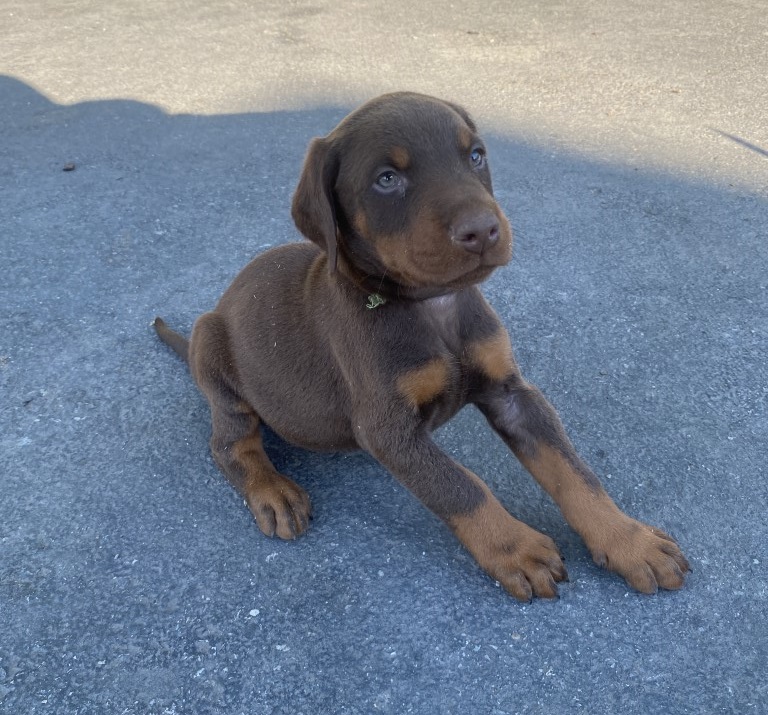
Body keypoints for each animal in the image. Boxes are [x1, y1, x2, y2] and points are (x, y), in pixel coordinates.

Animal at [156, 91, 688, 604]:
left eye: (475, 156)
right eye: (387, 178)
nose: (482, 230)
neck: (431, 306)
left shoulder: (512, 394)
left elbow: (574, 471)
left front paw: (628, 540)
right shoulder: (389, 429)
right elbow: (460, 486)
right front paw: (516, 549)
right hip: (214, 352)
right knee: (230, 443)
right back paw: (272, 491)